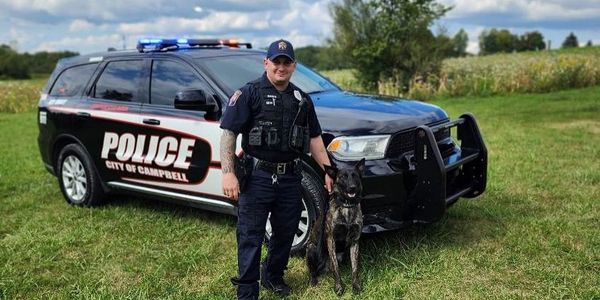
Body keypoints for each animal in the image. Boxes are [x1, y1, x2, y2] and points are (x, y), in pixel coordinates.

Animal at [304, 158, 366, 294]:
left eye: (355, 176)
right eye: (342, 177)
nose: (352, 188)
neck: (347, 206)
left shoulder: (355, 241)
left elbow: (355, 268)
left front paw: (356, 285)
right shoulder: (331, 239)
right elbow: (335, 268)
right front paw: (338, 287)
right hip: (311, 249)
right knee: (313, 271)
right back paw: (313, 280)